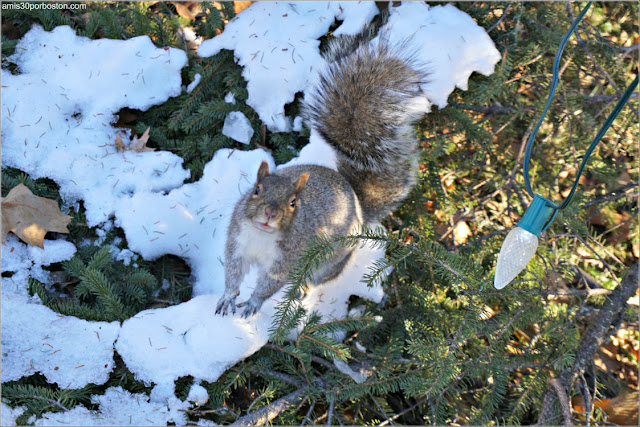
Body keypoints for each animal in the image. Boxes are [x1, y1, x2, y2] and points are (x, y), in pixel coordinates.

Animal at [216, 31, 430, 318]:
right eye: (256, 190)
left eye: (293, 203)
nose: (270, 214)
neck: (262, 236)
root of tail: (358, 206)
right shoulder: (238, 243)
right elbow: (233, 273)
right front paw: (228, 296)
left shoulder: (285, 260)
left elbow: (269, 284)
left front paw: (253, 303)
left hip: (327, 261)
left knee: (312, 279)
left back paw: (301, 293)